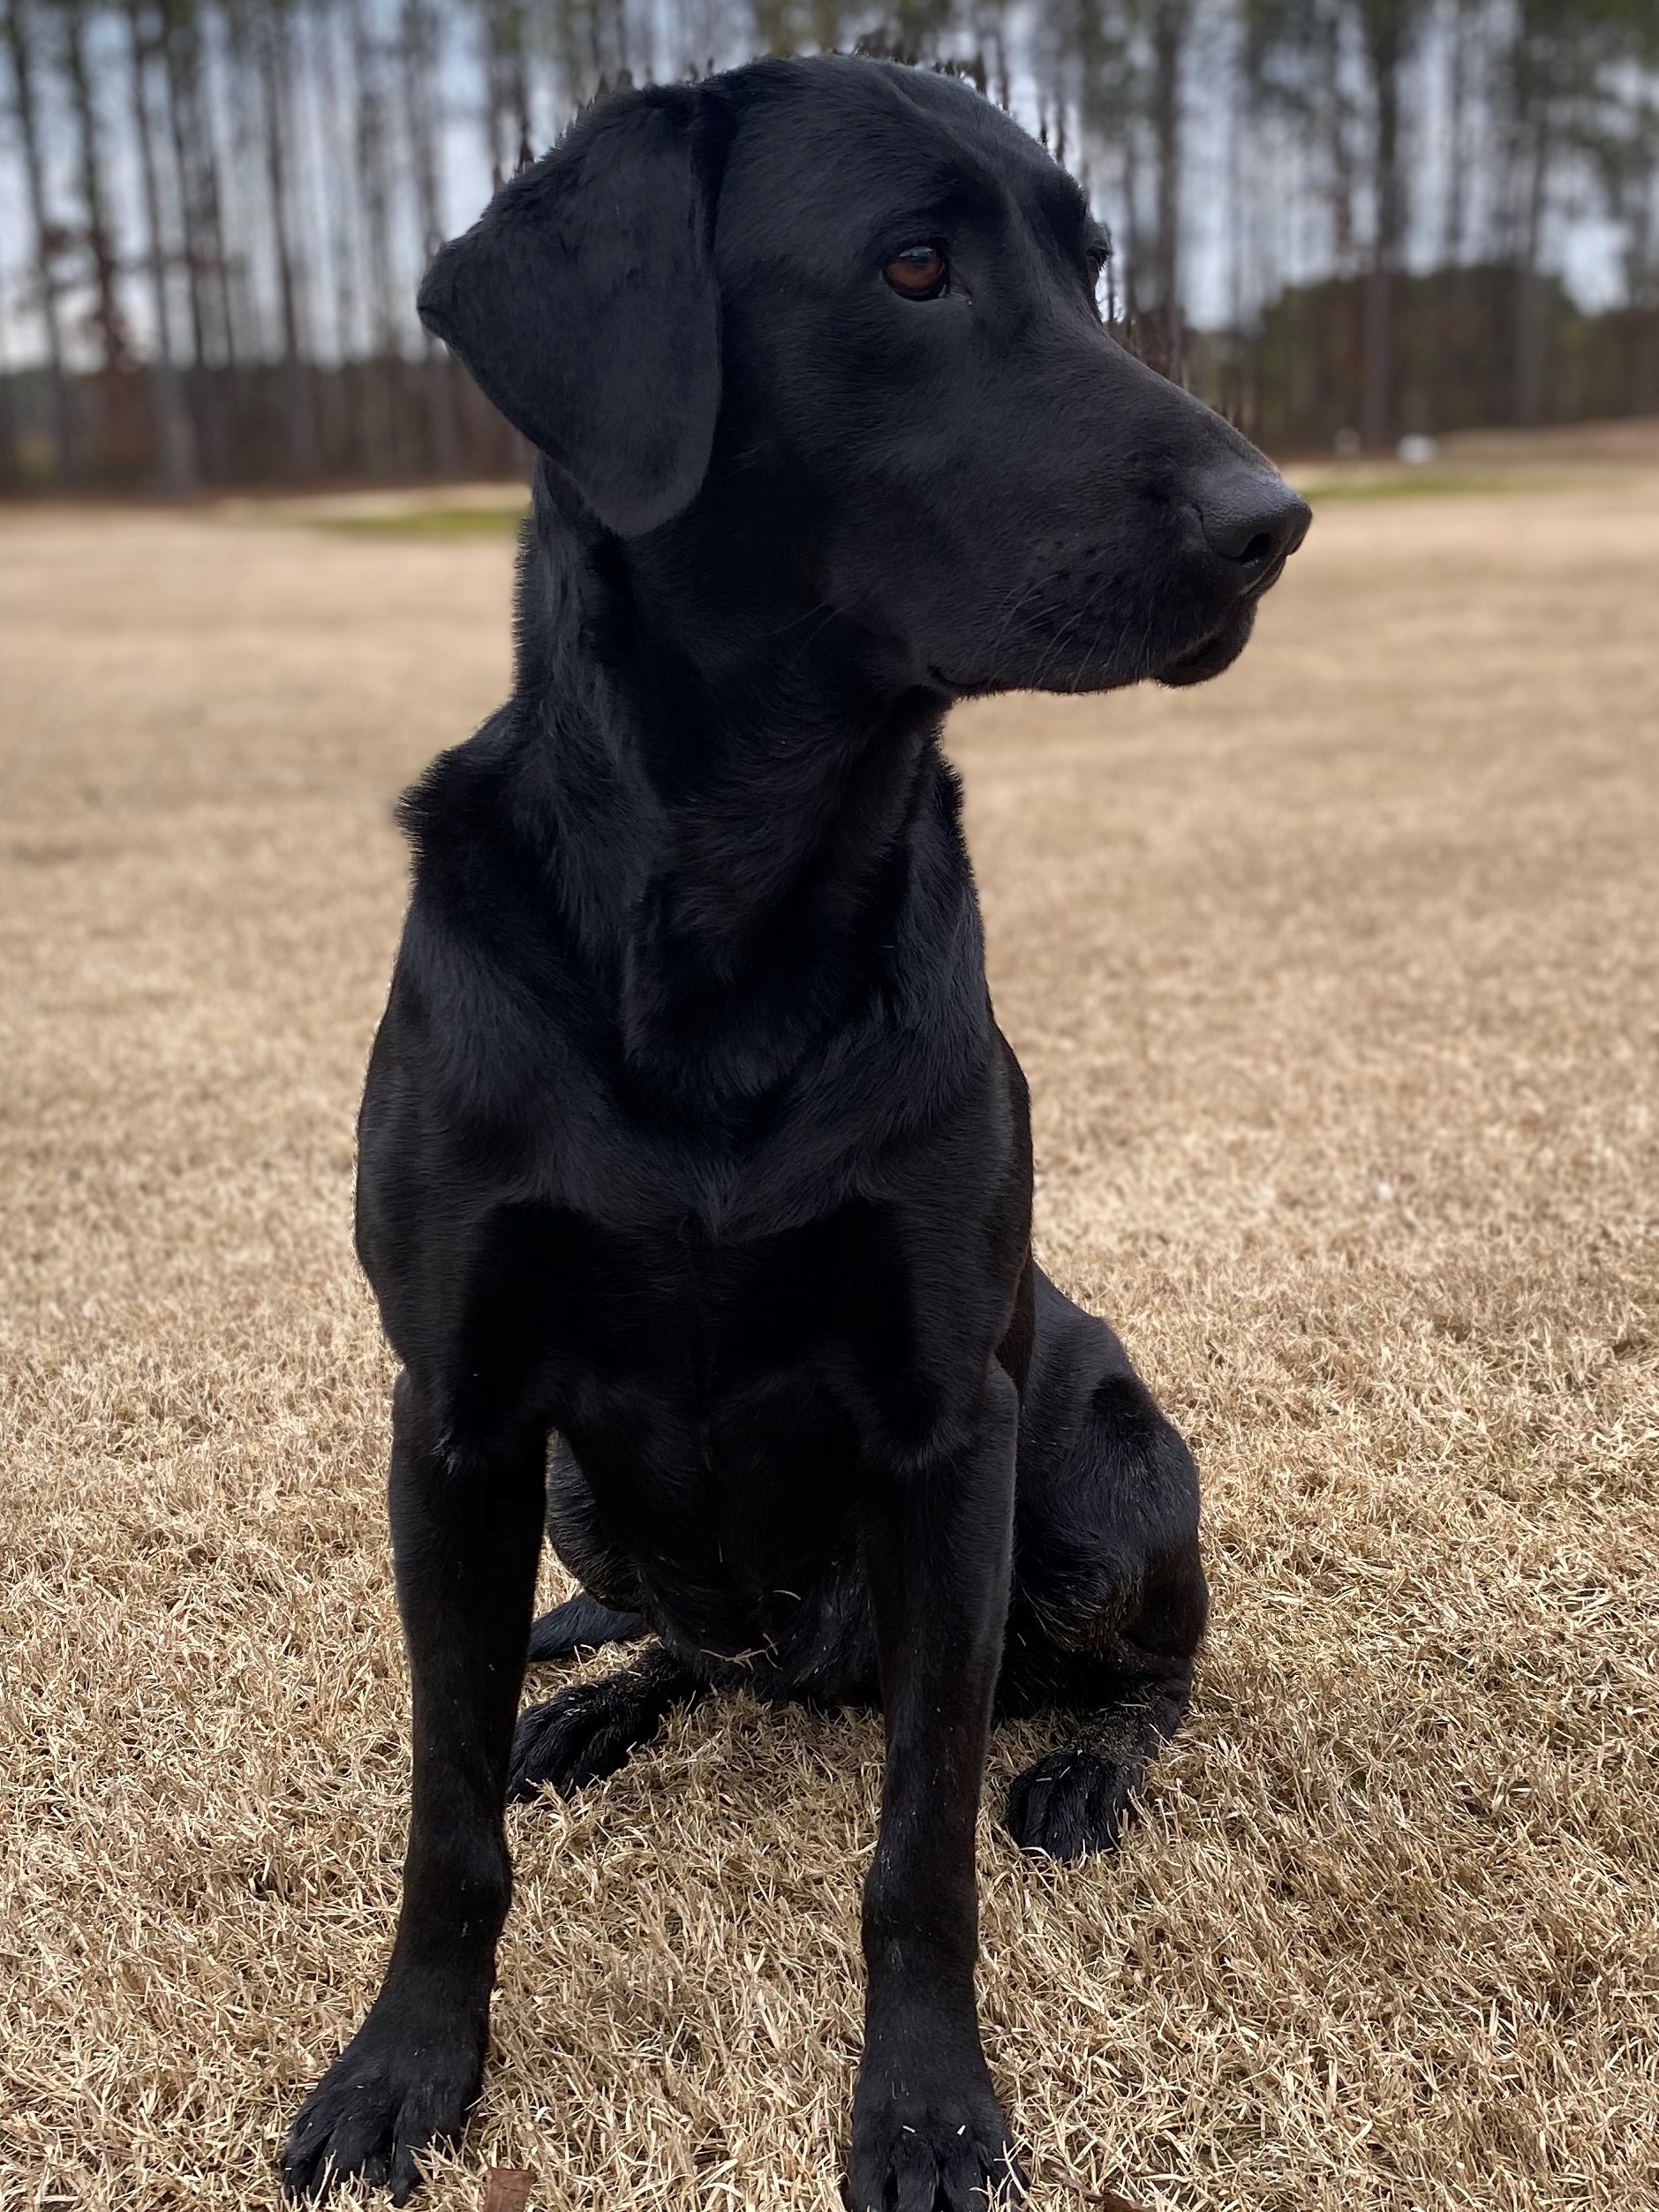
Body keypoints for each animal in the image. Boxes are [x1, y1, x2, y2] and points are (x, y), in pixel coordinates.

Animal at [279, 51, 1309, 2212]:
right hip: (587, 1494)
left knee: (1143, 1673)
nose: (1273, 524)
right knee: (689, 1645)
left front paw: (923, 2107)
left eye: (1092, 269)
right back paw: (595, 1703)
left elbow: (917, 1843)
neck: (731, 905)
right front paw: (405, 2063)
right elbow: (441, 1812)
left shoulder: (948, 1426)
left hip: (1097, 1474)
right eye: (910, 267)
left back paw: (1083, 1766)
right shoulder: (458, 1413)